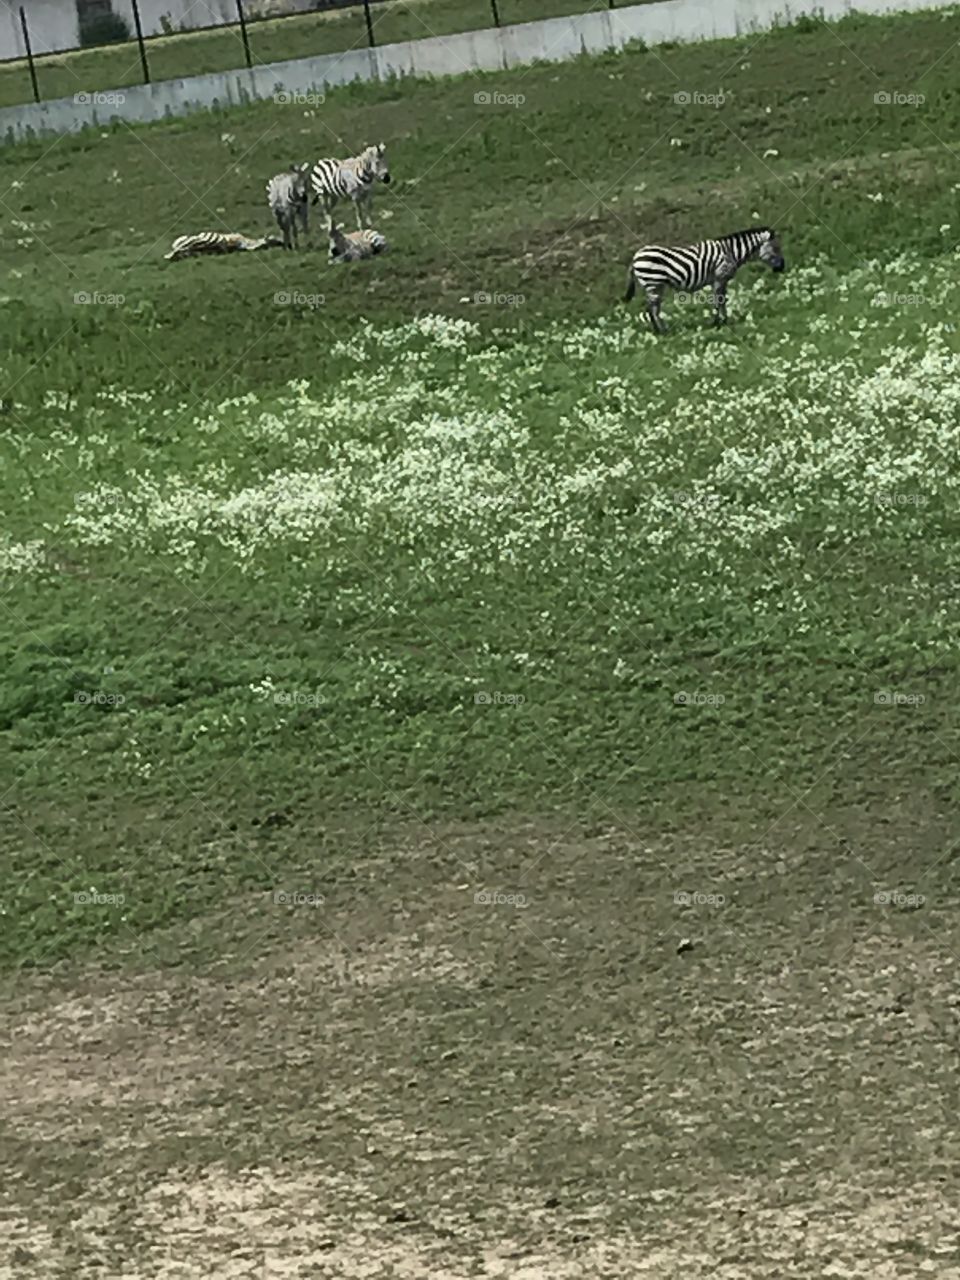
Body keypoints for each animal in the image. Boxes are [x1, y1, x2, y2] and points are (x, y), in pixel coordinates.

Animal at [624, 226, 785, 333]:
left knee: (653, 308)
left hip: (656, 285)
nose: (782, 267)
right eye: (776, 248)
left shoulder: (719, 280)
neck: (731, 252)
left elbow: (721, 300)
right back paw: (662, 332)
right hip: (653, 283)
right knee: (651, 308)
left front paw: (722, 321)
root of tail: (635, 257)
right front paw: (719, 323)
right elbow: (719, 300)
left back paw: (661, 329)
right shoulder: (720, 277)